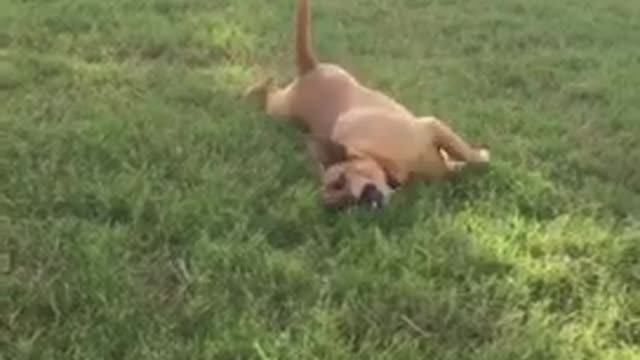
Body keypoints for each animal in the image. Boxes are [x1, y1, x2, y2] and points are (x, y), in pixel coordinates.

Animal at [246, 0, 490, 211]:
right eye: (343, 207)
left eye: (341, 181)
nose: (361, 203)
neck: (381, 158)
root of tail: (309, 70)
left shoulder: (430, 125)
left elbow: (464, 152)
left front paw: (478, 157)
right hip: (281, 108)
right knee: (271, 92)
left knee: (271, 89)